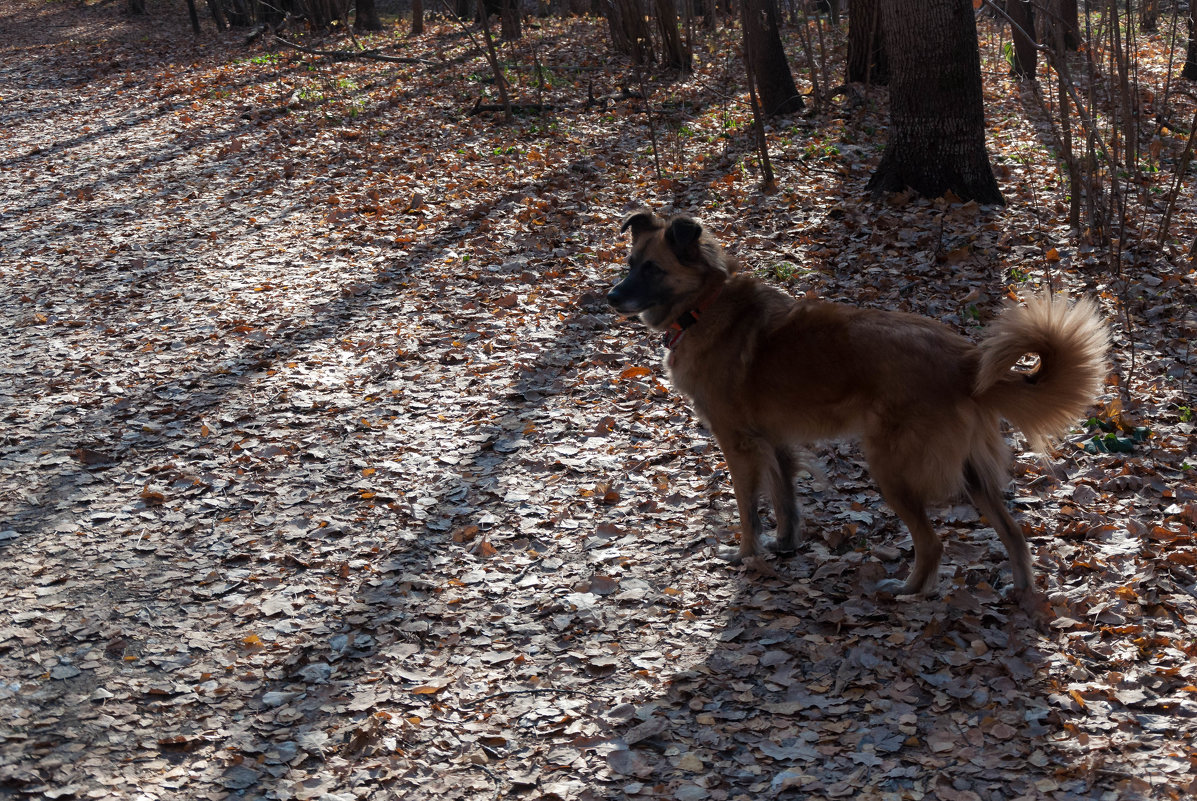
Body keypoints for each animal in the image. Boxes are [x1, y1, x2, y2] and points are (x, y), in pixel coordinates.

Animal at [608, 209, 1110, 596]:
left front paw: (746, 556)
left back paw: (908, 591)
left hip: (891, 466)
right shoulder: (777, 442)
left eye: (651, 269)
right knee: (1015, 533)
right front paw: (785, 546)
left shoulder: (739, 444)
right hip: (969, 472)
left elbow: (748, 509)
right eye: (630, 262)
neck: (704, 305)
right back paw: (1021, 590)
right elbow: (785, 500)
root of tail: (964, 360)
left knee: (932, 543)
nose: (612, 297)